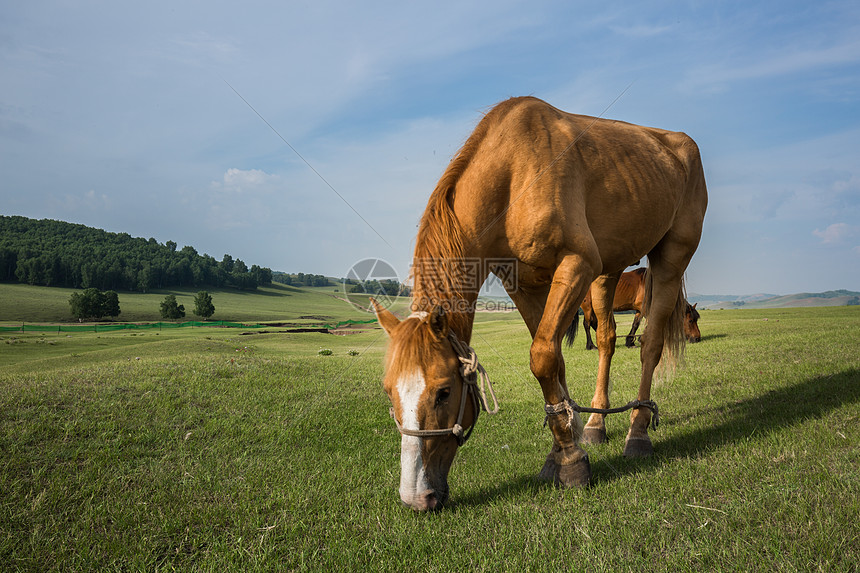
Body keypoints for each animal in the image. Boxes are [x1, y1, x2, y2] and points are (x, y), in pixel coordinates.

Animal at [576, 268, 704, 348]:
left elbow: (635, 325)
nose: (697, 338)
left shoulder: (639, 310)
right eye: (690, 320)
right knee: (587, 324)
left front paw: (630, 342)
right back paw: (591, 346)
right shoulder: (645, 309)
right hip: (587, 307)